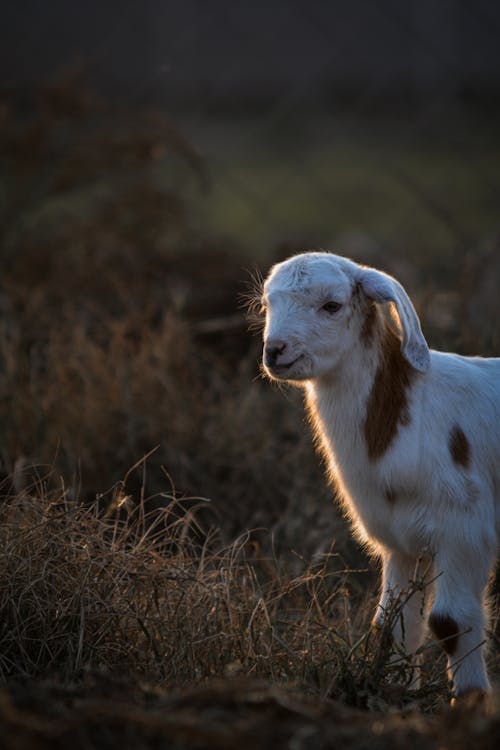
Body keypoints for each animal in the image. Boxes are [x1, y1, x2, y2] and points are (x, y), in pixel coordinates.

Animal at [260, 253, 498, 704]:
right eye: (267, 304)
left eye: (332, 306)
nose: (274, 350)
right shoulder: (401, 540)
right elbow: (393, 625)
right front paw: (392, 692)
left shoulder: (464, 527)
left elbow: (451, 621)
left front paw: (470, 701)